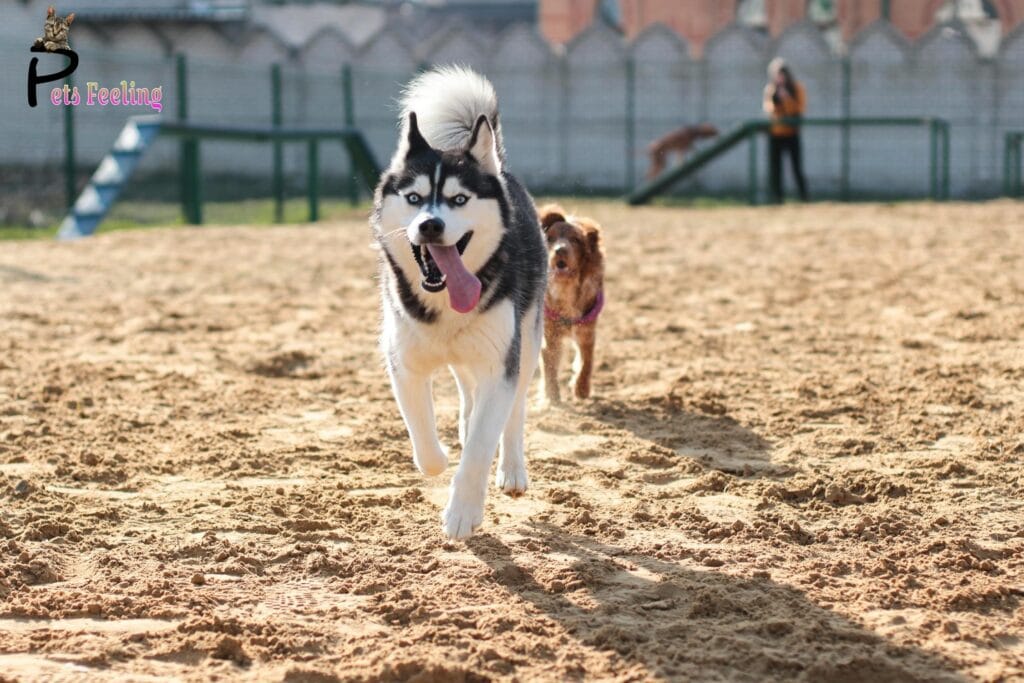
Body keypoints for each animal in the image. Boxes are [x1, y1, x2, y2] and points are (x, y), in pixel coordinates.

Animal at [368, 68, 544, 540]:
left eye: (459, 199)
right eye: (414, 198)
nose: (430, 224)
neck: (446, 302)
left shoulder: (501, 365)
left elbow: (484, 444)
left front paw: (463, 511)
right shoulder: (404, 364)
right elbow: (422, 437)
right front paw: (441, 458)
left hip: (527, 342)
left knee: (514, 412)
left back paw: (513, 469)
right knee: (468, 392)